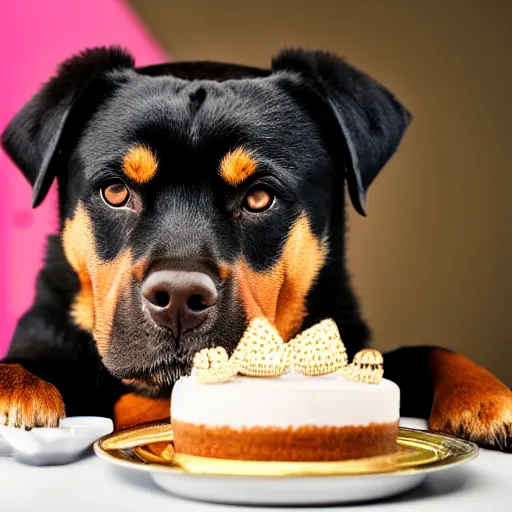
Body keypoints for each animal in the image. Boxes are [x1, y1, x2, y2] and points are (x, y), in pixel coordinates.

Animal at [1, 46, 512, 450]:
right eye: (115, 191)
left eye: (259, 197)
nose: (179, 299)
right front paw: (19, 390)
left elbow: (426, 351)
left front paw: (486, 397)